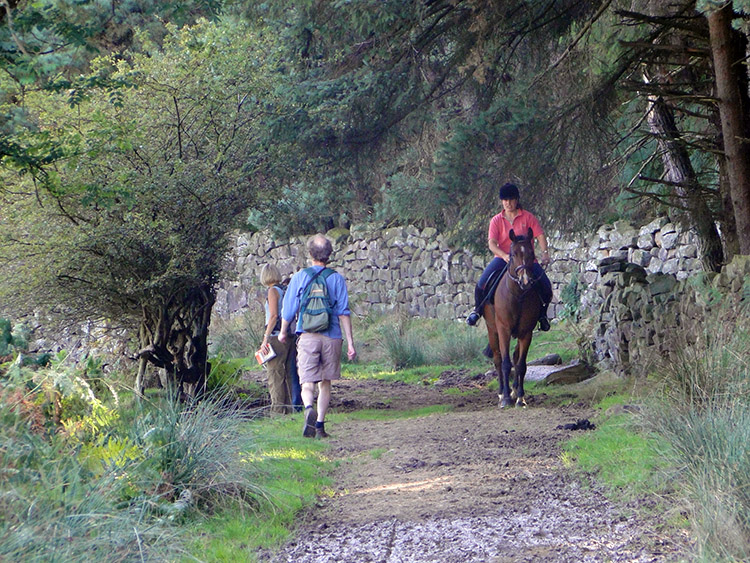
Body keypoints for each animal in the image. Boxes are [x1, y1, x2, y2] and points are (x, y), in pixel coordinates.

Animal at [484, 228, 544, 410]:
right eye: (512, 254)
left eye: (532, 253)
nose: (525, 281)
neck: (518, 296)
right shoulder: (503, 330)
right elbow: (505, 363)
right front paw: (505, 399)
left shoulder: (526, 332)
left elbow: (521, 365)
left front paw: (520, 398)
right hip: (492, 330)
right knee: (497, 360)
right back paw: (502, 393)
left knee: (516, 358)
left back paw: (513, 391)